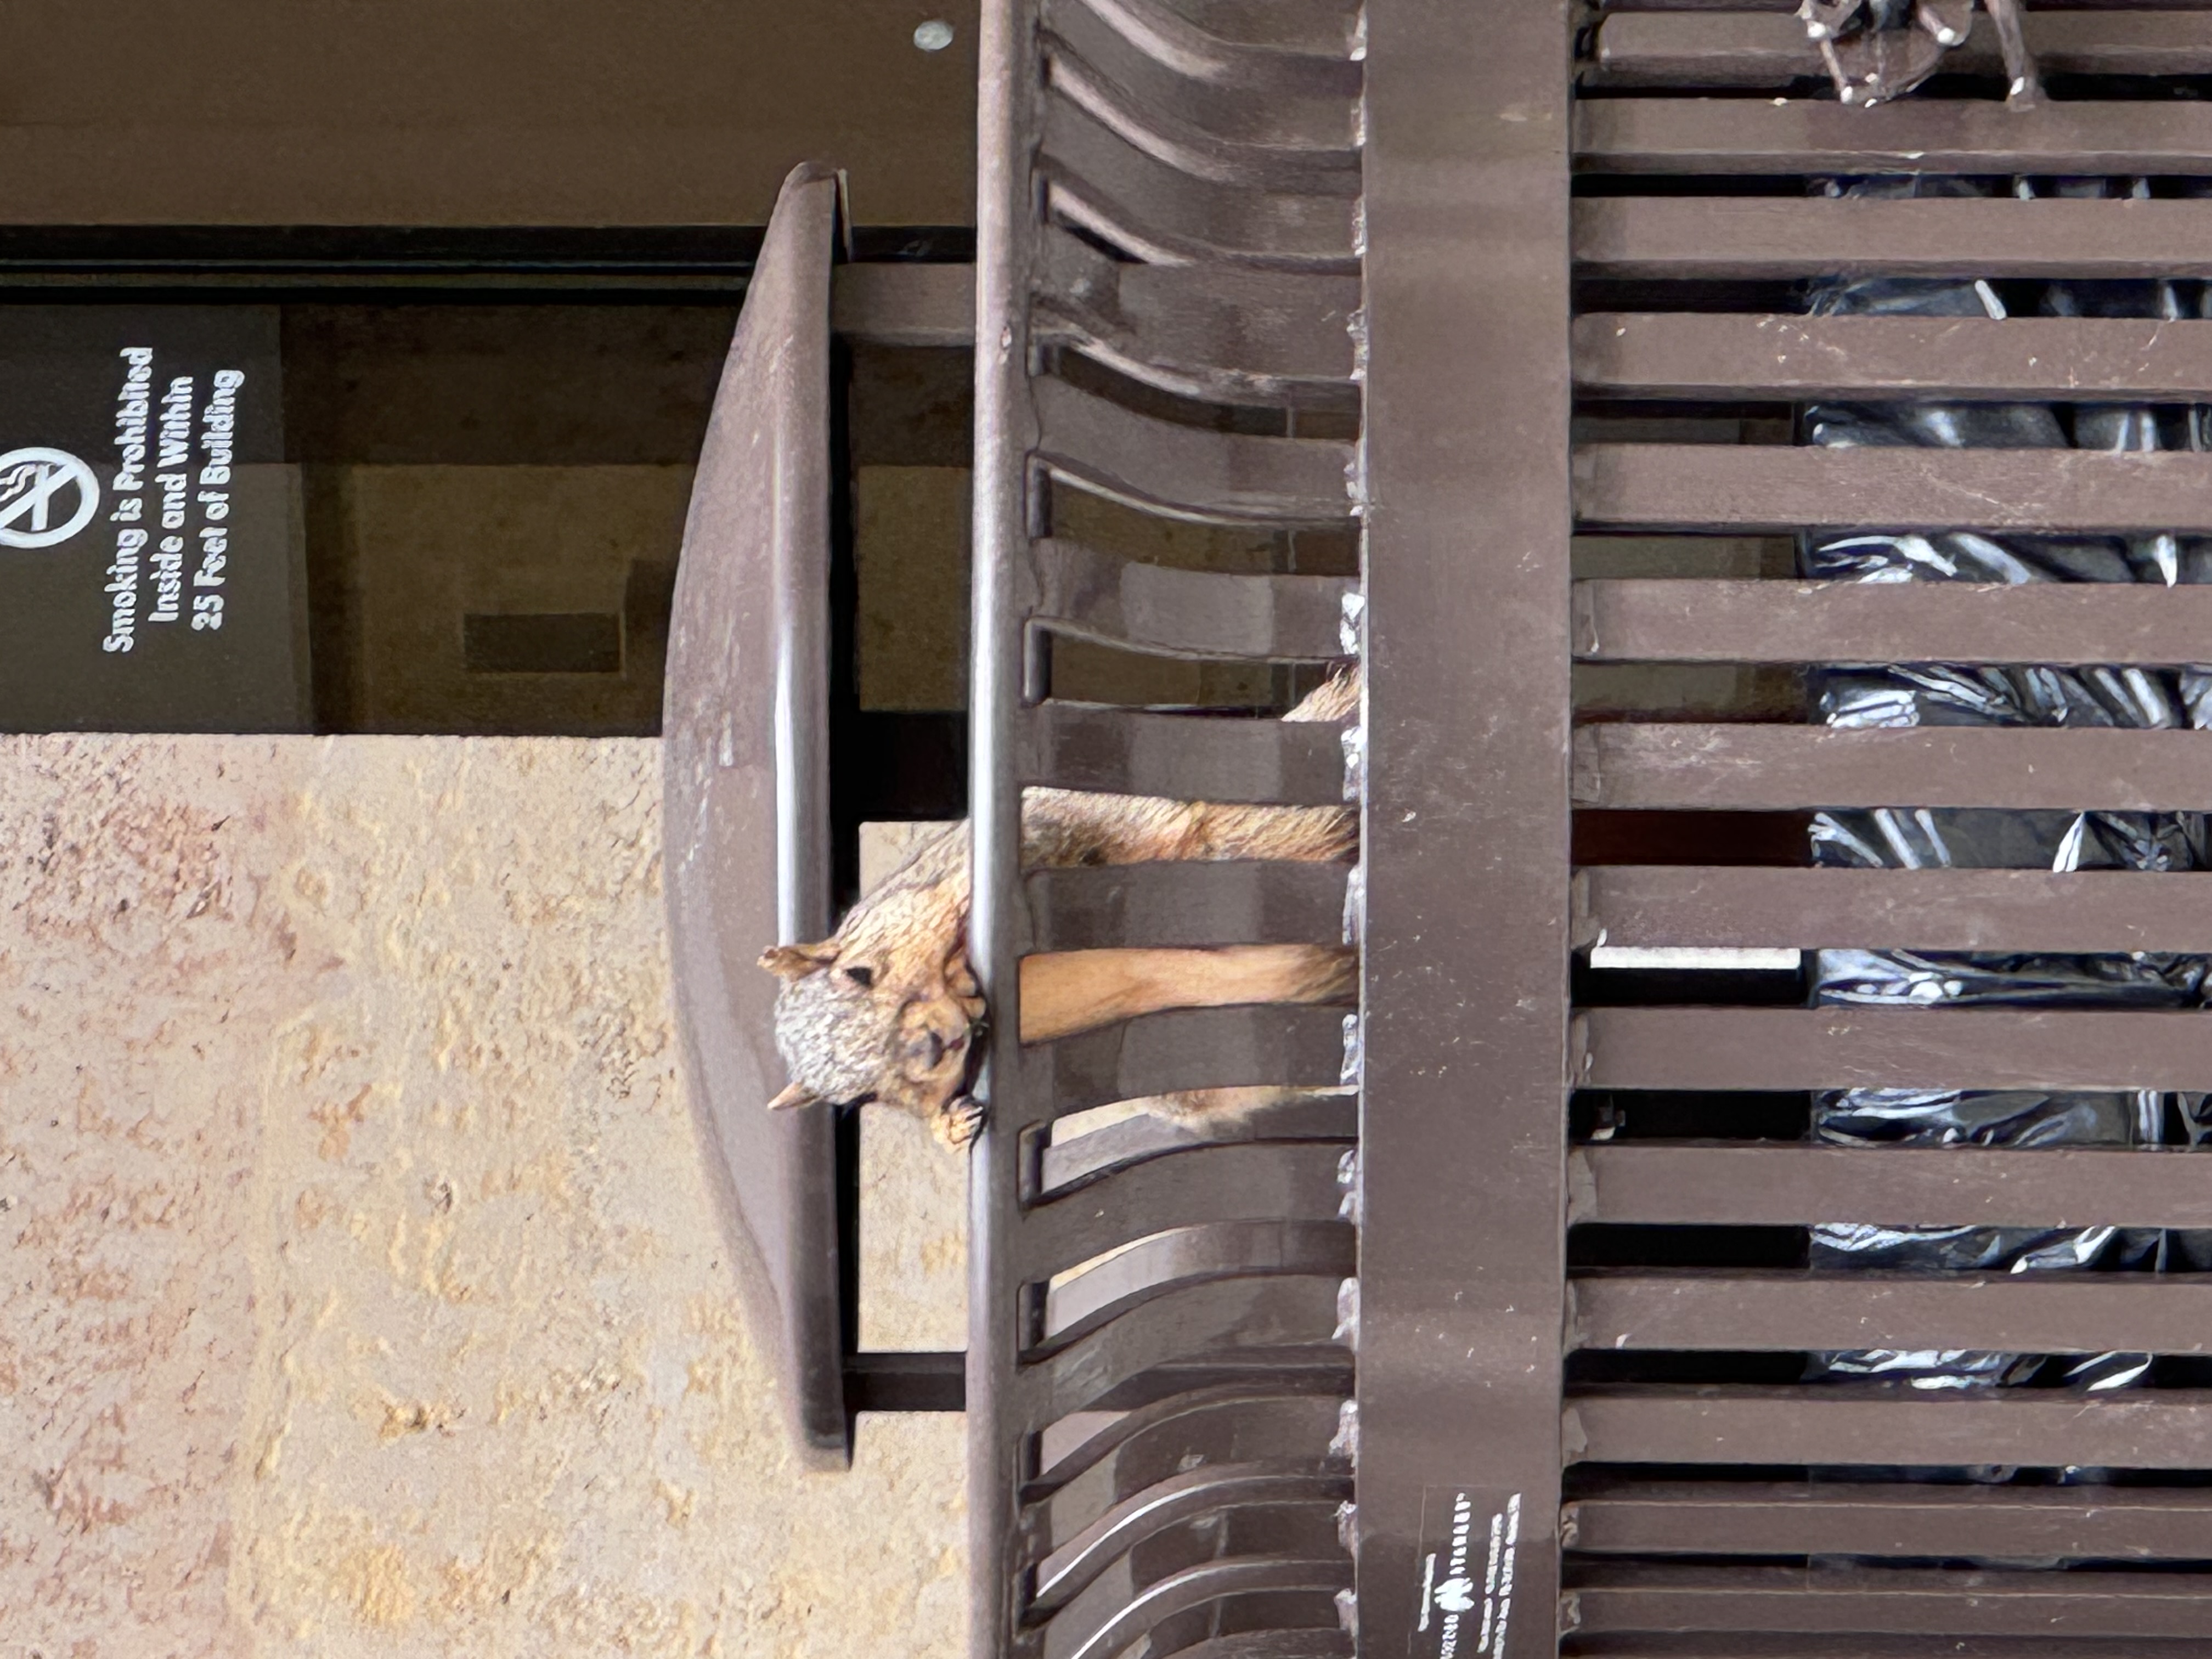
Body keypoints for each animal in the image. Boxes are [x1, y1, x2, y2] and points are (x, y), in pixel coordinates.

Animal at [758, 666, 1360, 1147]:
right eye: (864, 1098)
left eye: (859, 972)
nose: (933, 1046)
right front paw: (949, 1126)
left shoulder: (1009, 843)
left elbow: (977, 881)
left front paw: (957, 939)